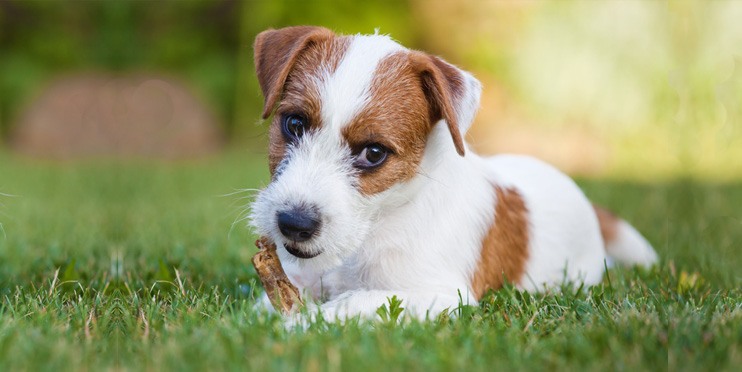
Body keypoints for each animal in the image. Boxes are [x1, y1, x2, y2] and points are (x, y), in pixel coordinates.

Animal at [248, 26, 656, 322]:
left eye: (374, 153)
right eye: (294, 124)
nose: (293, 223)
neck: (376, 227)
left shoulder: (441, 295)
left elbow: (353, 302)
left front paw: (302, 324)